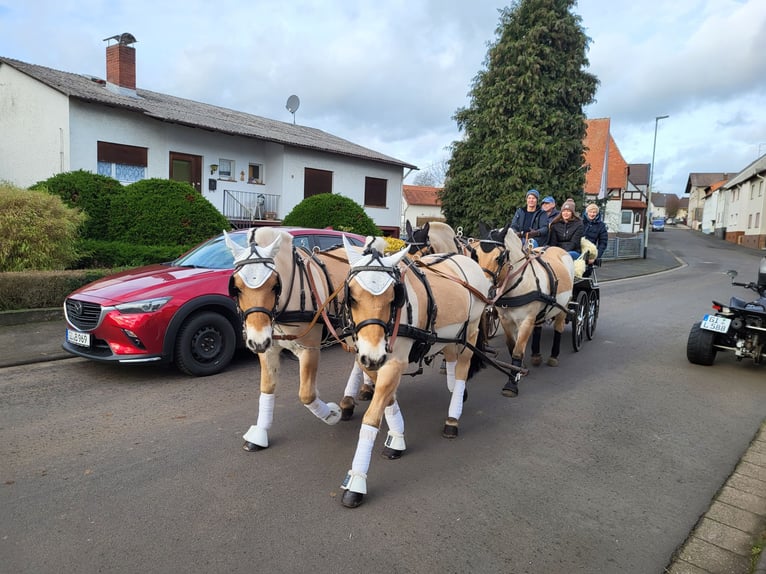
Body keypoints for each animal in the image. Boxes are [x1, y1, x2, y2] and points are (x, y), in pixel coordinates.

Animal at [222, 230, 378, 454]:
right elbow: (267, 387)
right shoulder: (268, 349)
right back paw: (359, 393)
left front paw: (331, 414)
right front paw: (259, 434)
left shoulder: (309, 348)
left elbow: (307, 394)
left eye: (274, 285)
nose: (257, 341)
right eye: (236, 287)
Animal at [338, 237, 492, 508]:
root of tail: (466, 260)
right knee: (451, 358)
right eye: (352, 297)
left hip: (471, 331)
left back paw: (453, 417)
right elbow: (388, 399)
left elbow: (372, 417)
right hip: (450, 336)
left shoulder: (393, 362)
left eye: (394, 297)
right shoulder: (372, 360)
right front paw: (397, 438)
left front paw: (356, 482)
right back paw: (456, 392)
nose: (374, 355)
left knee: (462, 367)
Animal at [474, 224, 576, 400]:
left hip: (564, 306)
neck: (518, 284)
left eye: (499, 258)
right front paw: (518, 370)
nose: (483, 288)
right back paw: (536, 355)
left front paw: (511, 384)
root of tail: (560, 250)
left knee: (559, 328)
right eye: (477, 255)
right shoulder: (505, 319)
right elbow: (511, 346)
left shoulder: (526, 320)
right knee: (539, 326)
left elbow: (517, 351)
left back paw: (553, 356)